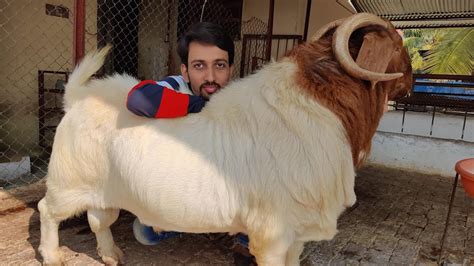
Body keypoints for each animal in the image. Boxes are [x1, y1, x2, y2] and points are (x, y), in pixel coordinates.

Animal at [39, 13, 412, 264]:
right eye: (397, 42)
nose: (410, 82)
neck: (318, 104)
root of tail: (76, 97)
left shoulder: (298, 232)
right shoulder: (272, 234)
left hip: (104, 192)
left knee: (98, 219)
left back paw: (111, 254)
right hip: (67, 182)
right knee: (48, 210)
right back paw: (53, 256)